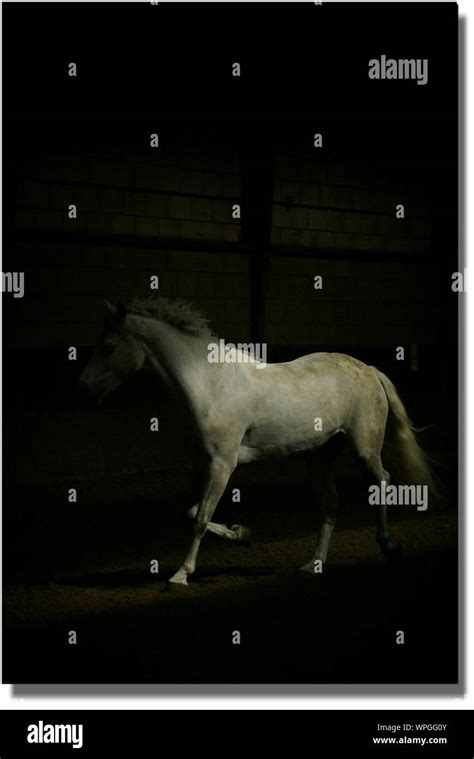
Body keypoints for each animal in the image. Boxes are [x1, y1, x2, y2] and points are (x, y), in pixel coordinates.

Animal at [78, 296, 436, 588]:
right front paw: (241, 534)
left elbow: (200, 518)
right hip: (319, 457)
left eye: (108, 346)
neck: (210, 383)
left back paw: (389, 546)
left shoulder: (223, 463)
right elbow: (192, 511)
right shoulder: (204, 461)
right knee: (331, 504)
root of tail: (369, 369)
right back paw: (313, 565)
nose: (83, 389)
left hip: (364, 449)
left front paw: (180, 575)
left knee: (382, 481)